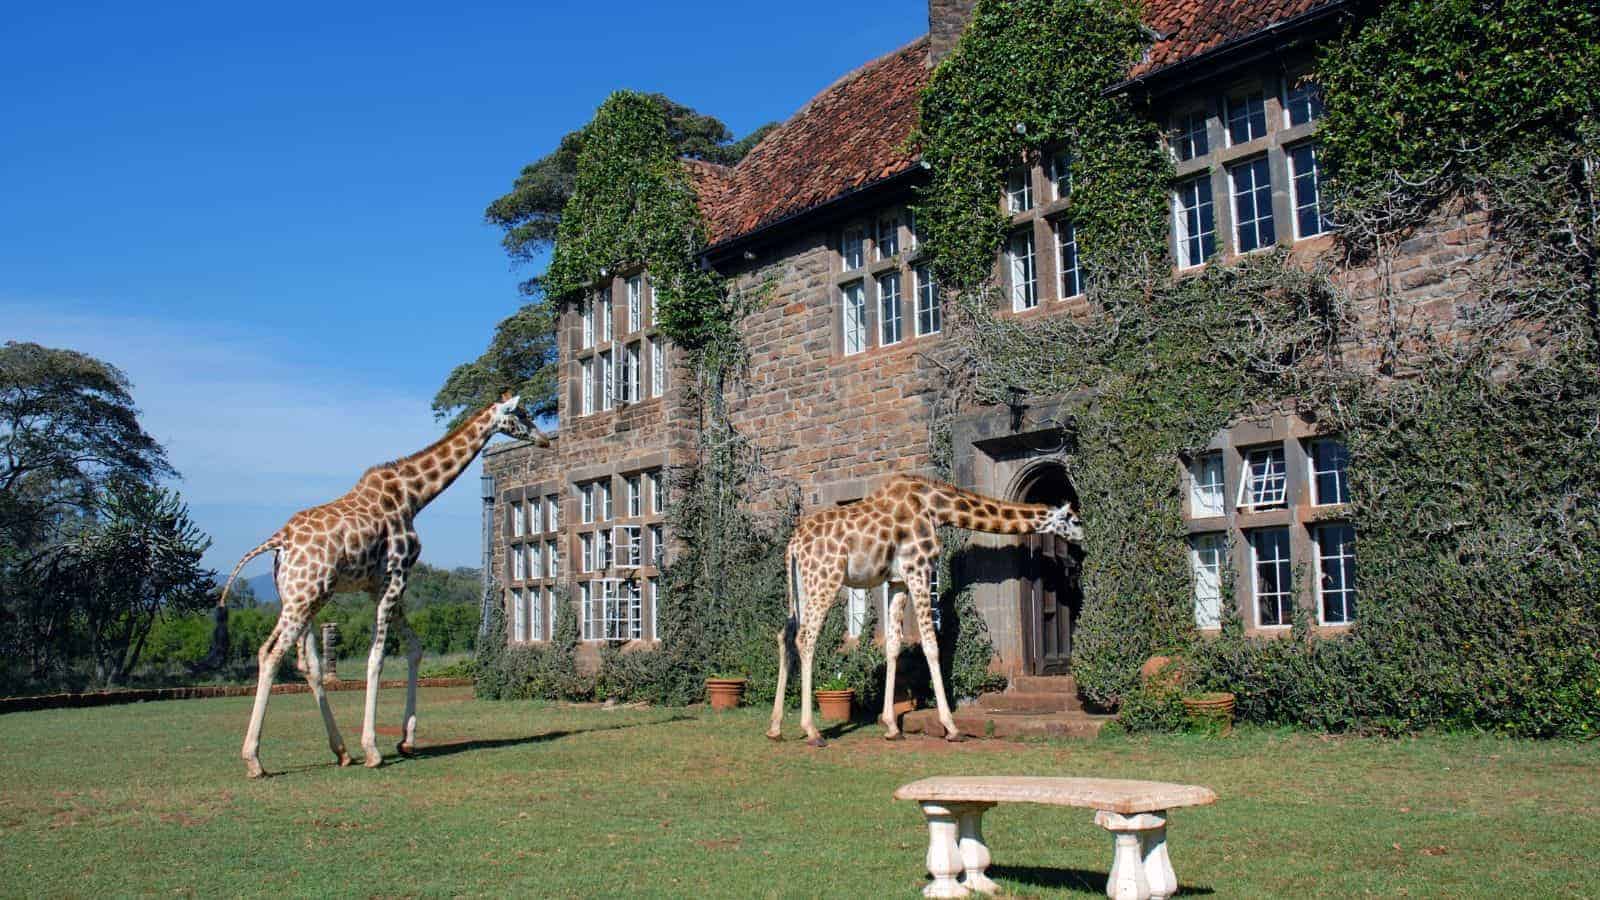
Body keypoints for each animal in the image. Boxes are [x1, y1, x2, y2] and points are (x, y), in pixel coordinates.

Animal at [213, 393, 547, 778]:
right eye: (521, 414)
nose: (543, 439)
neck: (413, 495)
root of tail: (279, 542)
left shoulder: (378, 584)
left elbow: (414, 647)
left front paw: (406, 740)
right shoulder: (399, 572)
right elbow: (377, 658)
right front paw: (373, 749)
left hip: (303, 597)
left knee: (304, 663)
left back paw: (341, 751)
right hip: (303, 597)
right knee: (270, 653)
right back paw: (254, 759)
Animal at [768, 474, 1083, 746]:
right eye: (1075, 519)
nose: (1081, 544)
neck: (936, 507)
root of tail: (793, 545)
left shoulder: (898, 580)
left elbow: (893, 644)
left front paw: (891, 726)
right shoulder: (918, 569)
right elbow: (931, 644)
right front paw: (952, 727)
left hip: (801, 585)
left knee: (785, 636)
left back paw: (775, 728)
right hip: (826, 578)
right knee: (806, 638)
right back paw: (812, 731)